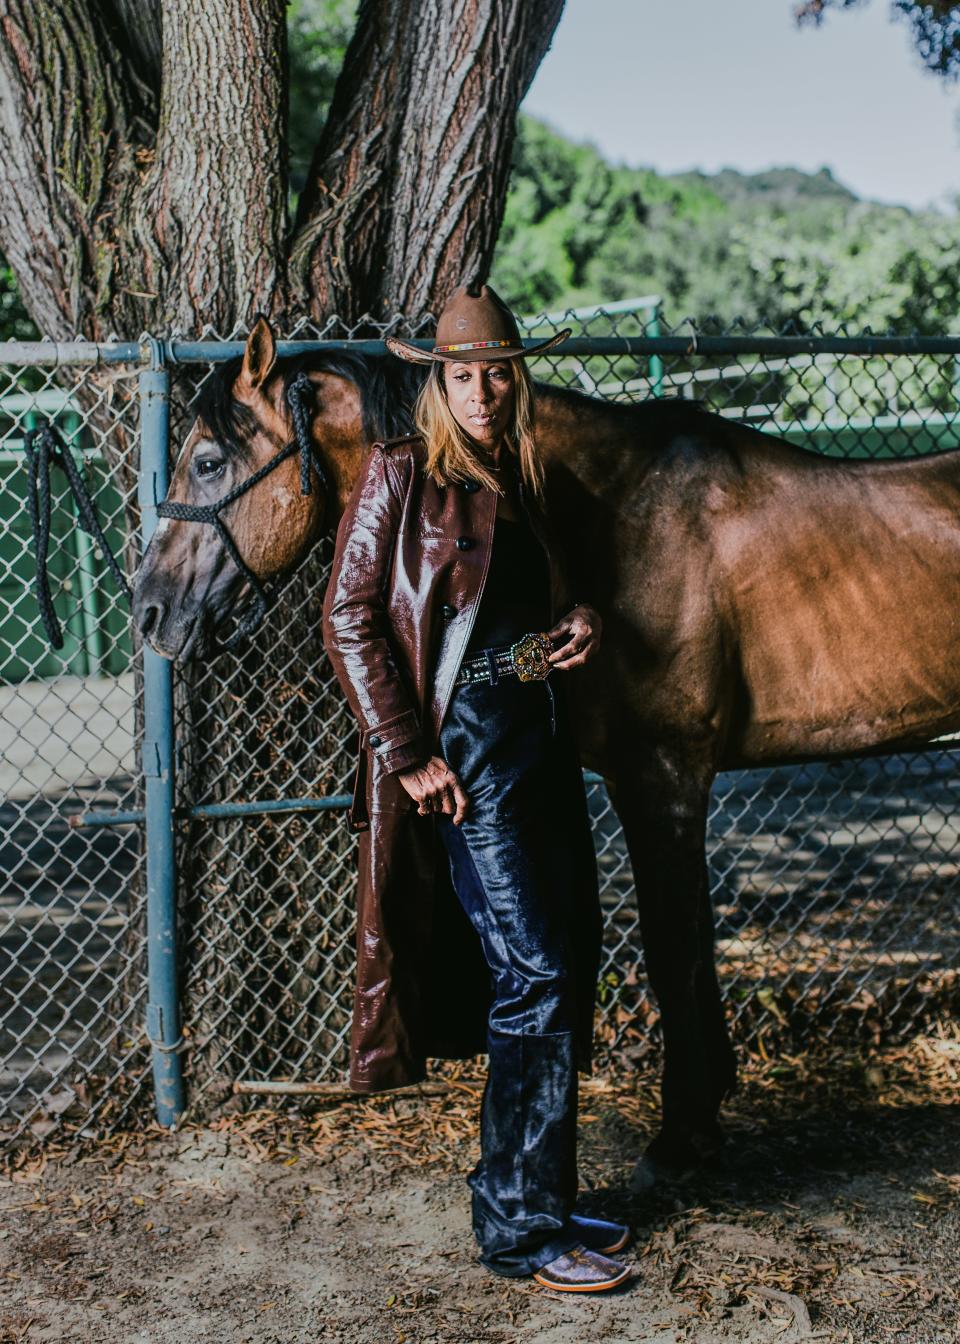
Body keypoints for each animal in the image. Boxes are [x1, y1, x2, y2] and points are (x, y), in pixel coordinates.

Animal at [131, 319, 957, 1182]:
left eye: (209, 461)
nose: (149, 607)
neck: (619, 515)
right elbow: (690, 950)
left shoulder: (662, 779)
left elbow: (675, 952)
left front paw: (683, 1136)